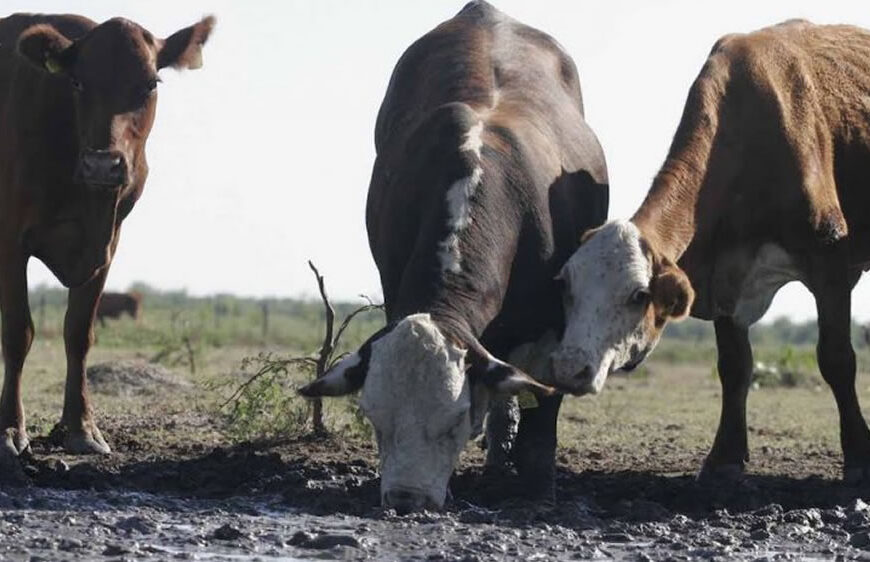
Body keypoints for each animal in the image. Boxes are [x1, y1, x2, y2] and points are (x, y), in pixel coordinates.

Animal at [0, 14, 215, 468]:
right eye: (78, 81)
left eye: (150, 83)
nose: (103, 163)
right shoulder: (10, 240)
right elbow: (17, 332)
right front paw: (10, 430)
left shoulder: (107, 246)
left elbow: (79, 333)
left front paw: (81, 429)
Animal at [304, 1, 608, 512]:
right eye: (375, 418)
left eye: (455, 420)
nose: (406, 498)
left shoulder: (554, 327)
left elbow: (541, 418)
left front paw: (537, 490)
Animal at [556, 19, 870, 480]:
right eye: (567, 288)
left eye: (637, 295)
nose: (568, 367)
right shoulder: (724, 271)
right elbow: (734, 367)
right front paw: (725, 456)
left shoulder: (828, 258)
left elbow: (836, 359)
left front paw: (859, 454)